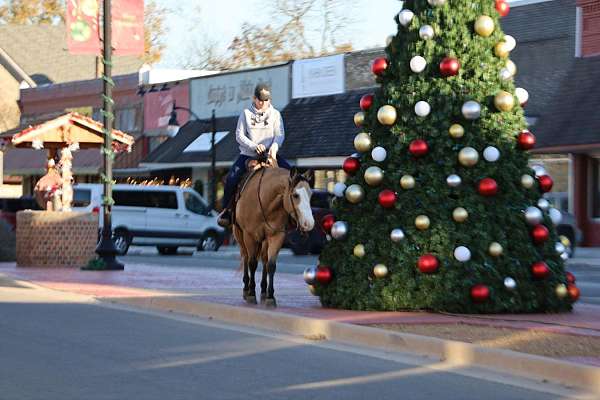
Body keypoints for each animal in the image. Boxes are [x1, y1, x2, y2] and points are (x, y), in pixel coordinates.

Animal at [232, 166, 314, 306]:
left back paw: (264, 291)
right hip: (240, 235)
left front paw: (270, 296)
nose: (309, 223)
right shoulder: (249, 236)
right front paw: (251, 294)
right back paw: (246, 289)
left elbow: (271, 265)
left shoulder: (277, 236)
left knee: (264, 260)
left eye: (310, 194)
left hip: (264, 240)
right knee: (246, 257)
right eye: (295, 195)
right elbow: (252, 263)